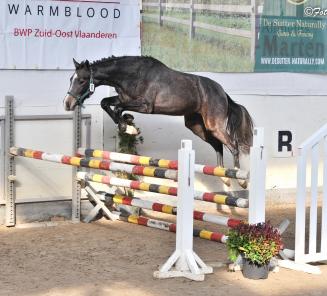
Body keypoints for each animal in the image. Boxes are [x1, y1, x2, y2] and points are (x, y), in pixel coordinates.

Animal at [63, 55, 254, 187]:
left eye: (82, 80)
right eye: (70, 79)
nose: (67, 103)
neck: (130, 75)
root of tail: (222, 92)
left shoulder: (145, 105)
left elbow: (117, 108)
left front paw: (128, 126)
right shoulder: (123, 99)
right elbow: (106, 103)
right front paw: (128, 124)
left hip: (213, 124)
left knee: (233, 145)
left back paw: (240, 178)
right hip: (197, 126)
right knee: (218, 145)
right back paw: (224, 177)